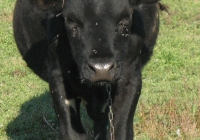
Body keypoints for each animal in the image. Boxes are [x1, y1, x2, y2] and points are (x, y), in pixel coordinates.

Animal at [12, 0, 166, 139]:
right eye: (70, 19)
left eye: (126, 17)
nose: (102, 68)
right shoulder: (58, 80)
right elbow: (72, 134)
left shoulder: (131, 79)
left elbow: (120, 132)